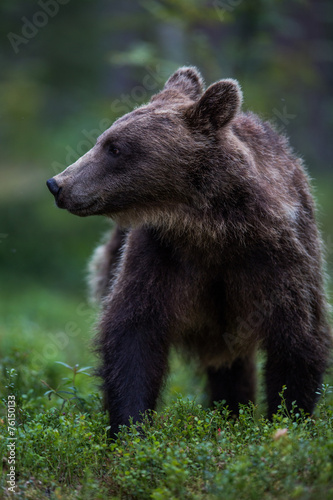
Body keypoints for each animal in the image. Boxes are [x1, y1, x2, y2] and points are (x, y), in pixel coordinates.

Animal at [46, 67, 330, 438]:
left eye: (115, 148)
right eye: (102, 139)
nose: (58, 184)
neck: (210, 228)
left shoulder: (279, 257)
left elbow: (297, 338)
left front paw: (286, 423)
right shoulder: (161, 255)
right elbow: (133, 331)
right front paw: (131, 427)